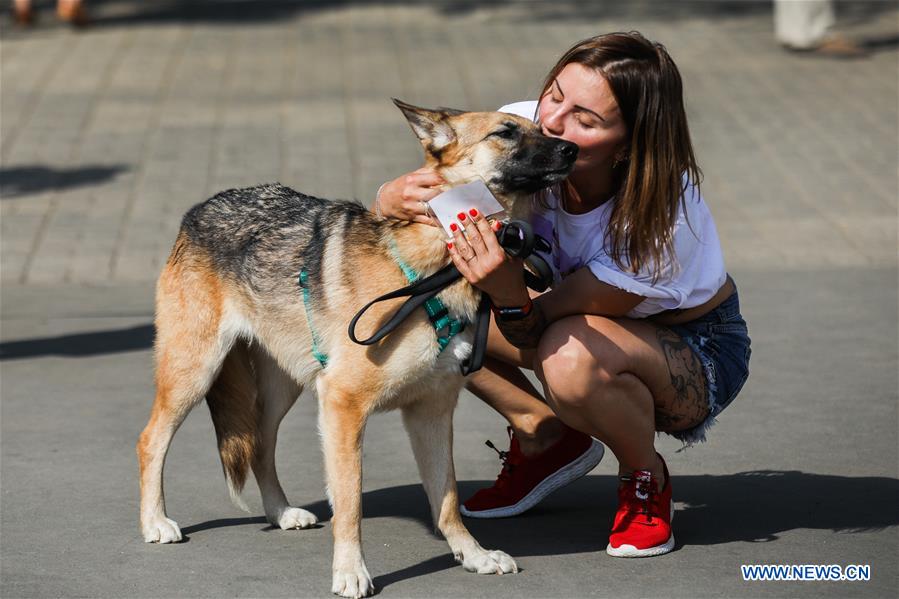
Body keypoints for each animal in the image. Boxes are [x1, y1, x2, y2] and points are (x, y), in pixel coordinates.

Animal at [137, 101, 580, 596]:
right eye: (505, 132)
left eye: (542, 127)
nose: (572, 148)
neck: (431, 272)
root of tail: (200, 208)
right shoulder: (344, 407)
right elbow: (349, 506)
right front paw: (350, 572)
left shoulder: (431, 411)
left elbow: (446, 498)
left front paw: (473, 555)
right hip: (194, 373)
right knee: (151, 440)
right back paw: (155, 523)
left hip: (282, 390)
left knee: (260, 444)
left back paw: (280, 513)